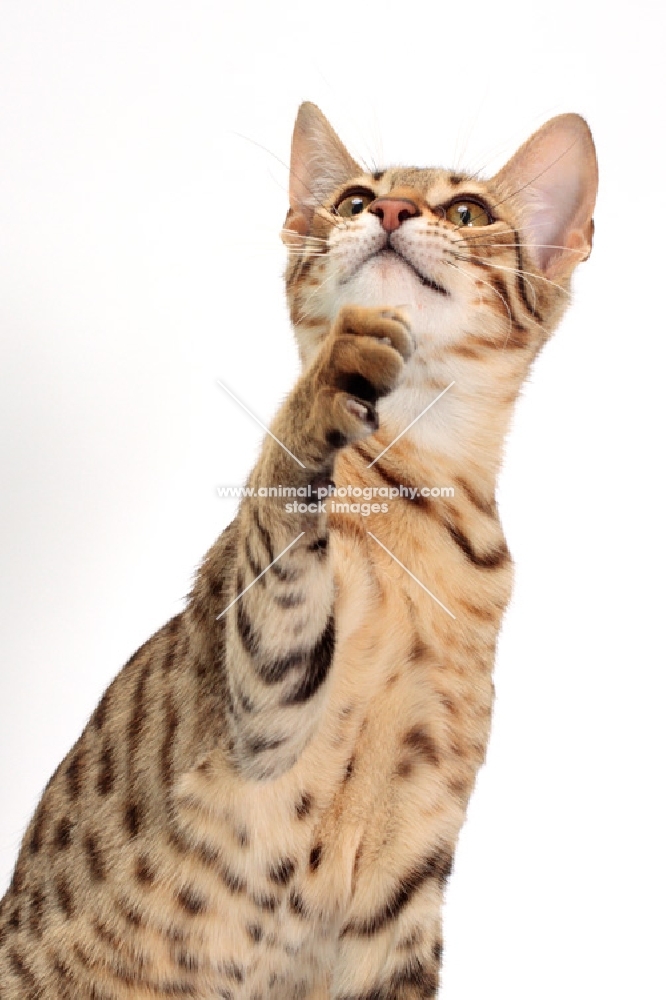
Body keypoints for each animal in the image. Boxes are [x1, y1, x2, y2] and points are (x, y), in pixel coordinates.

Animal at [0, 103, 592, 1000]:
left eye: (467, 212)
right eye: (352, 201)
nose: (391, 212)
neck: (414, 502)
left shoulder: (408, 882)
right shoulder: (261, 708)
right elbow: (278, 494)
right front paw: (327, 381)